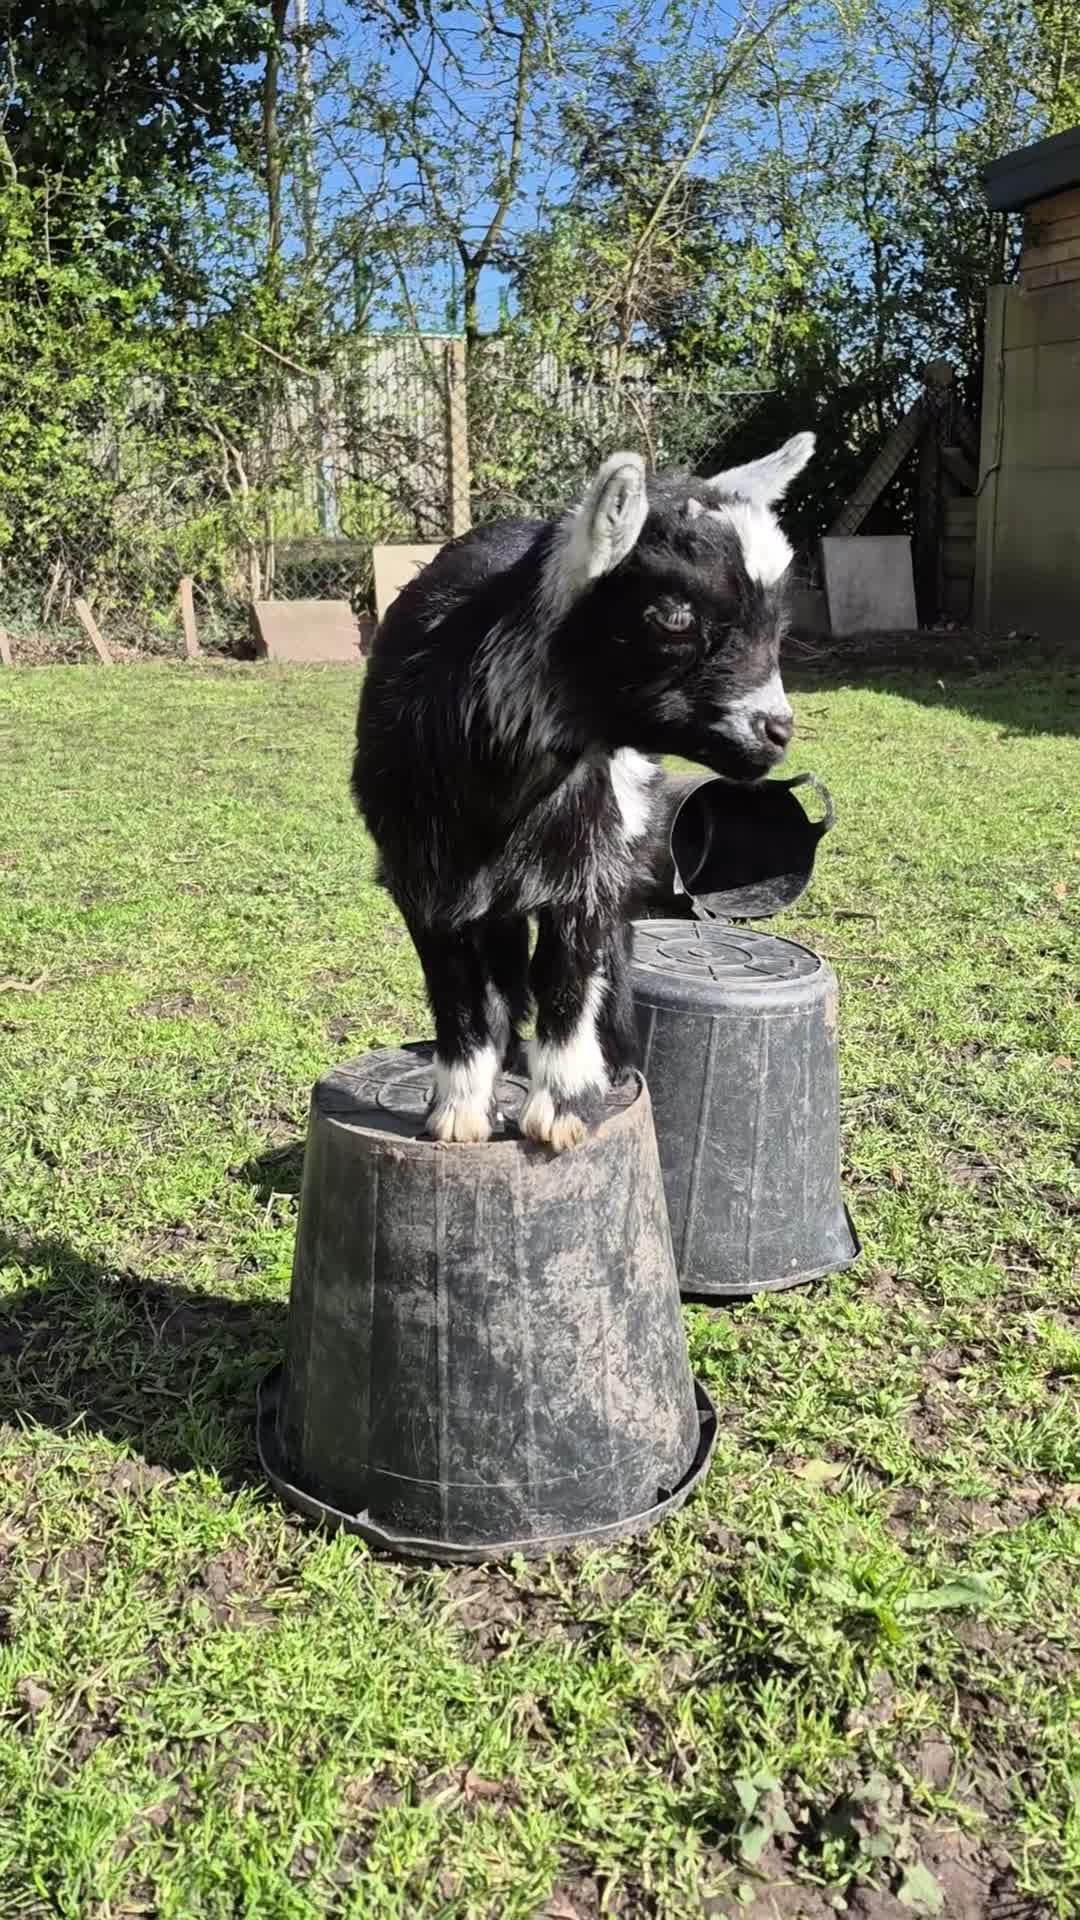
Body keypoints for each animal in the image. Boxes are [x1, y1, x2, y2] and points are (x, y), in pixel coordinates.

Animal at [352, 434, 814, 1150]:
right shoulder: (418, 872)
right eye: (675, 616)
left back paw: (613, 1058)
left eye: (778, 622)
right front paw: (459, 1110)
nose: (775, 733)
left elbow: (569, 971)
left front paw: (563, 1106)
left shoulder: (587, 859)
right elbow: (454, 984)